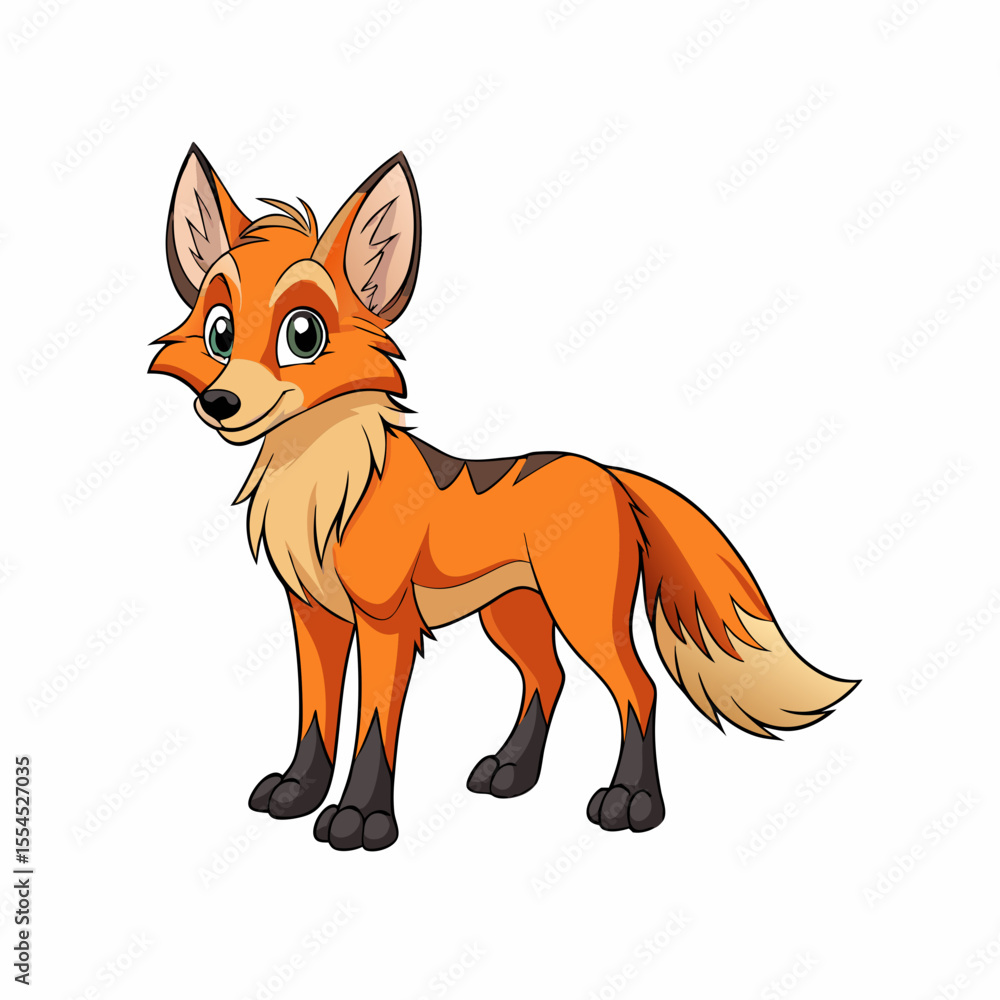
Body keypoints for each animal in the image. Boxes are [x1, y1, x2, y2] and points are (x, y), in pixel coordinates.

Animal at [150, 144, 858, 852]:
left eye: (304, 335)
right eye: (219, 332)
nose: (220, 402)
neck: (327, 488)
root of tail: (606, 471)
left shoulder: (385, 621)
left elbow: (373, 725)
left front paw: (362, 818)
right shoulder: (314, 615)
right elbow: (314, 714)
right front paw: (297, 793)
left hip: (583, 615)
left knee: (638, 689)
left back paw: (631, 803)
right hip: (511, 614)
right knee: (549, 678)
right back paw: (512, 772)